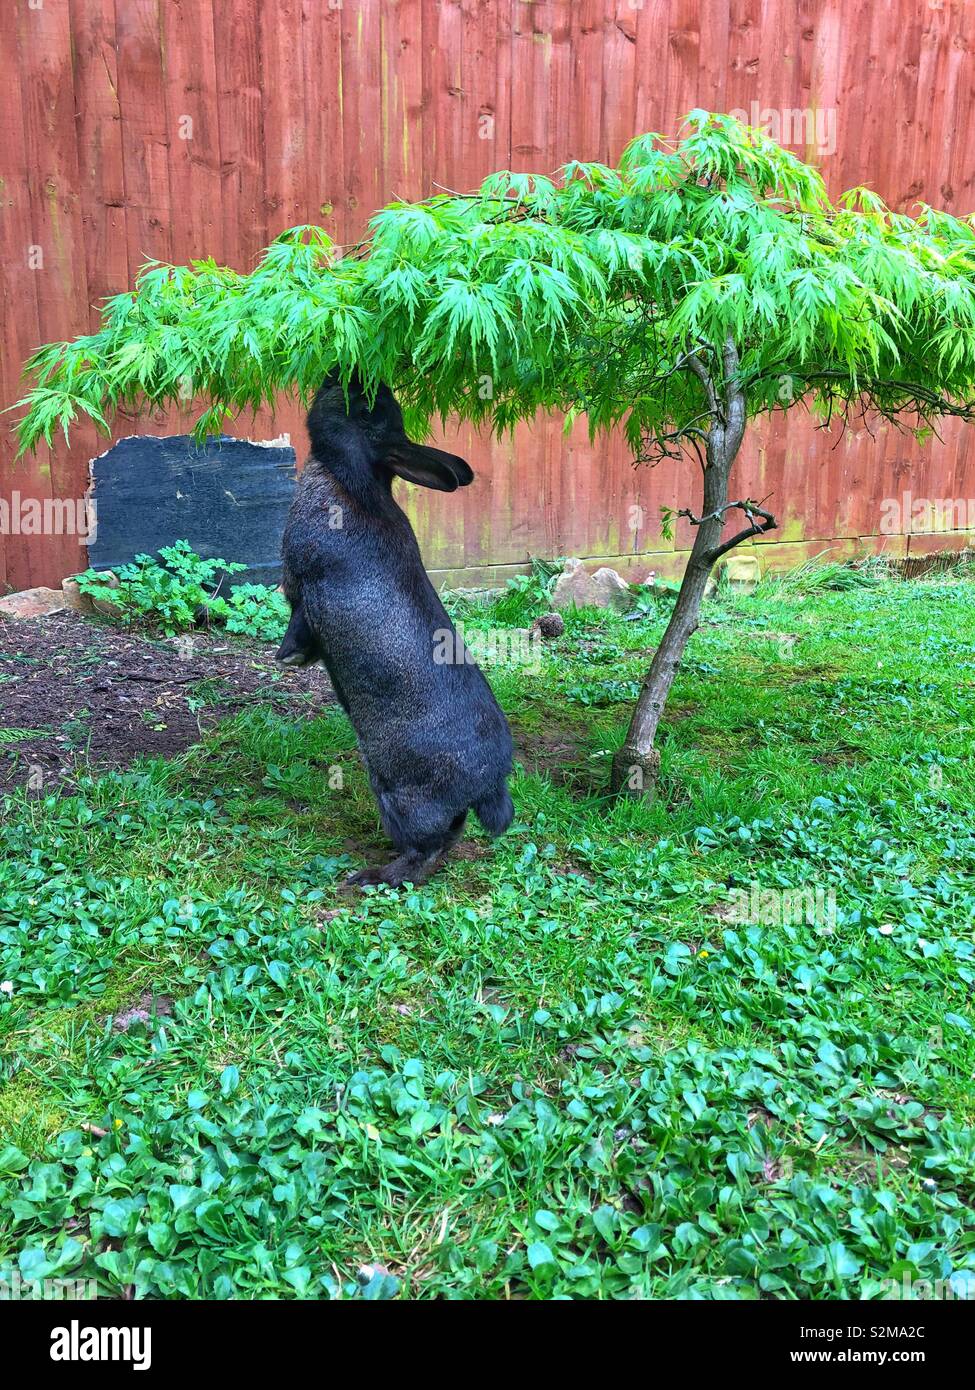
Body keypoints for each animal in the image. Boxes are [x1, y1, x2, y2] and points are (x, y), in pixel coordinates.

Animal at [278, 374, 514, 887]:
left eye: (364, 408)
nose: (340, 373)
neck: (354, 485)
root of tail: (489, 784)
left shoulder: (306, 592)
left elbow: (298, 625)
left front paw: (289, 658)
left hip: (398, 793)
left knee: (425, 850)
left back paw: (371, 875)